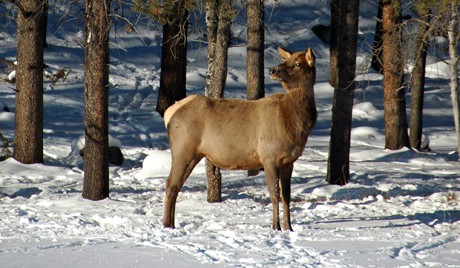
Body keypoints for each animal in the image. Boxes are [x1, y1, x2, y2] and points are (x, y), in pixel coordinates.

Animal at [162, 46, 316, 230]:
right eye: (285, 60)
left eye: (298, 63)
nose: (272, 70)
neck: (293, 124)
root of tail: (169, 113)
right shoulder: (268, 157)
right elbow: (274, 195)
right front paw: (275, 227)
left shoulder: (289, 161)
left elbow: (287, 196)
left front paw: (289, 228)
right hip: (182, 149)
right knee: (170, 183)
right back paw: (167, 225)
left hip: (193, 154)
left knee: (176, 185)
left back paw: (171, 224)